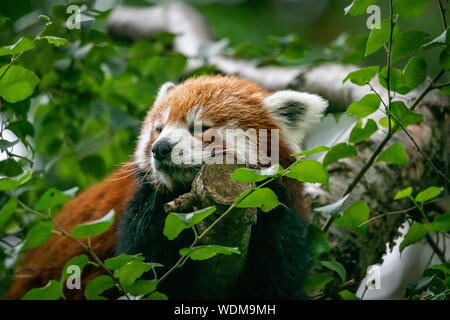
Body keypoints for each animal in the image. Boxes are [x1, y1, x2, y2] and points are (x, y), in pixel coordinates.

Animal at [3, 75, 326, 300]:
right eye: (158, 128)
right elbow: (143, 272)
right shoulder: (141, 216)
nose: (160, 148)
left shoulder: (279, 216)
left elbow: (277, 279)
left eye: (200, 128)